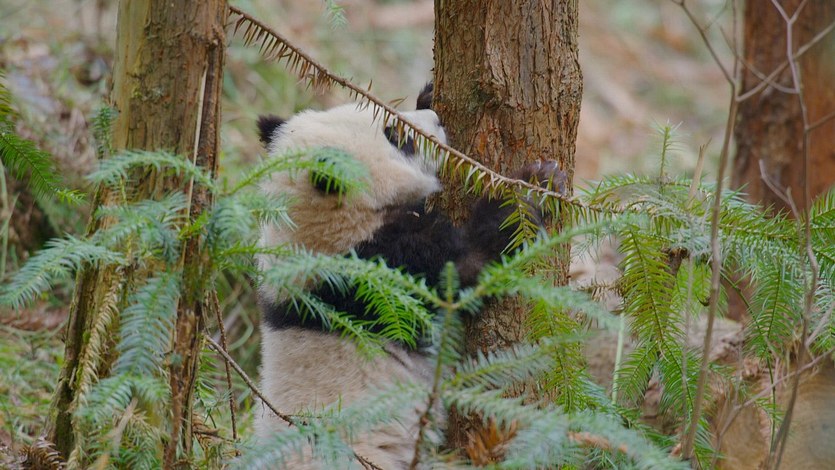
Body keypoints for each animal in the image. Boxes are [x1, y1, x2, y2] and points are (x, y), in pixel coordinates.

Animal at [253, 85, 564, 468]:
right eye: (398, 138)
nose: (438, 122)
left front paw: (427, 96)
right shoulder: (375, 274)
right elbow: (467, 268)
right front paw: (532, 185)